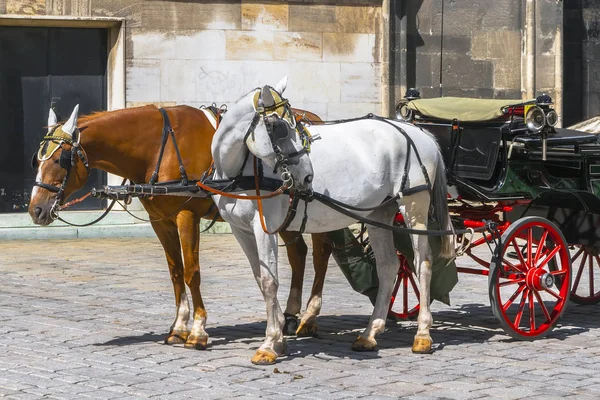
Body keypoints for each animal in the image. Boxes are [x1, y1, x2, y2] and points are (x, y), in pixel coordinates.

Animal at [29, 104, 332, 350]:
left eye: (59, 160)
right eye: (37, 159)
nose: (36, 209)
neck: (158, 148)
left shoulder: (186, 215)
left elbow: (191, 272)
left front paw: (197, 330)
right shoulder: (160, 221)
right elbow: (175, 273)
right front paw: (179, 327)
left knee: (320, 254)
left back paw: (309, 317)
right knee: (298, 253)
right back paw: (289, 316)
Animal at [213, 76, 452, 364]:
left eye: (295, 125)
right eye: (280, 127)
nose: (307, 176)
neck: (239, 171)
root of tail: (417, 132)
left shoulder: (264, 227)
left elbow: (270, 282)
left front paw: (269, 344)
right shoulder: (241, 230)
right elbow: (261, 278)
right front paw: (280, 337)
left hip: (413, 206)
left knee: (422, 263)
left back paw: (422, 334)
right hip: (379, 212)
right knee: (388, 267)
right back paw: (370, 333)